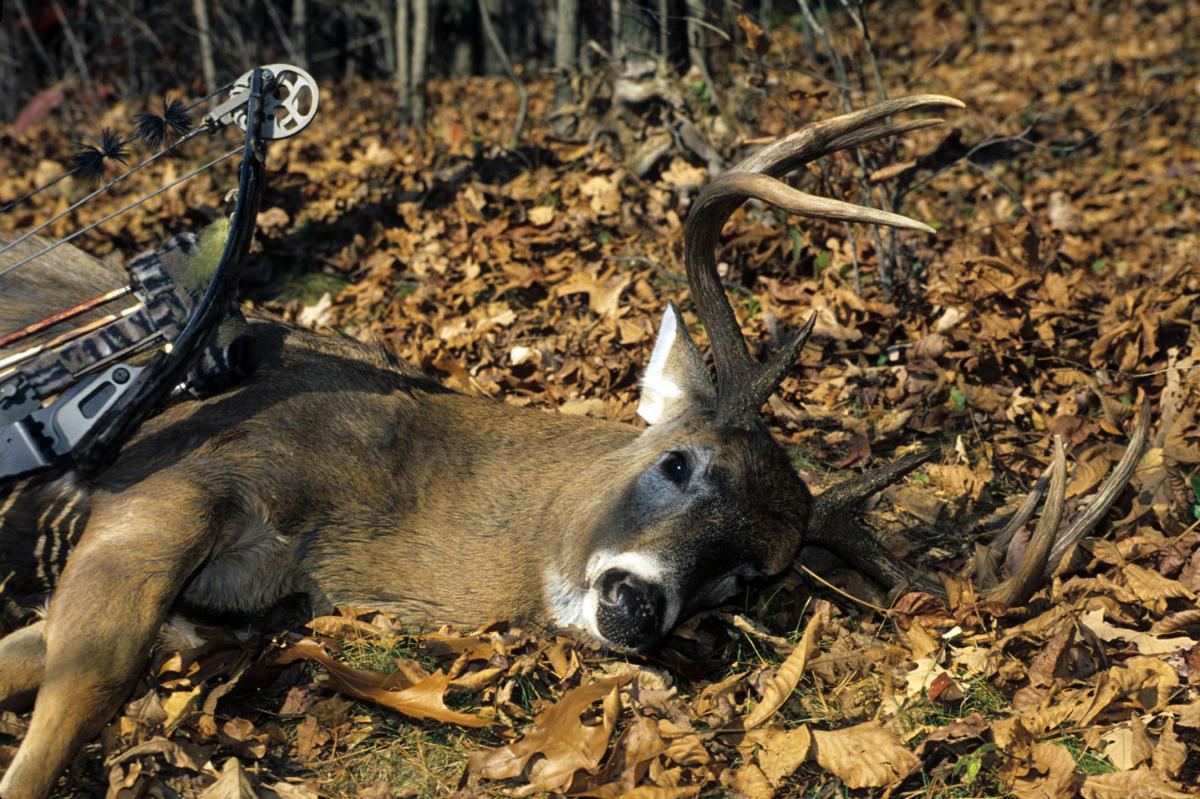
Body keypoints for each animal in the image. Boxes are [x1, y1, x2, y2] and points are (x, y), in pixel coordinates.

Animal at [0, 96, 1147, 799]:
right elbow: (85, 683)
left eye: (746, 578)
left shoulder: (217, 611)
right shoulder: (176, 492)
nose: (637, 607)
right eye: (679, 462)